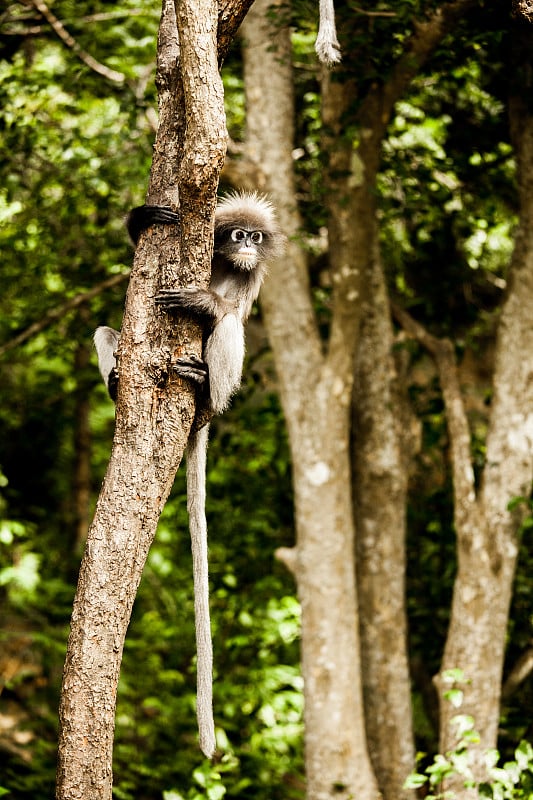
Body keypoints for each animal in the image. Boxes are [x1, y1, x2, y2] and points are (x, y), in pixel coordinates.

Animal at [95, 192, 286, 756]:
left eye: (256, 238)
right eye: (237, 235)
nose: (247, 246)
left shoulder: (251, 279)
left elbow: (234, 314)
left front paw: (204, 301)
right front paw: (141, 220)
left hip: (220, 385)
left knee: (232, 329)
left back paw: (204, 390)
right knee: (107, 331)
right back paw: (117, 379)